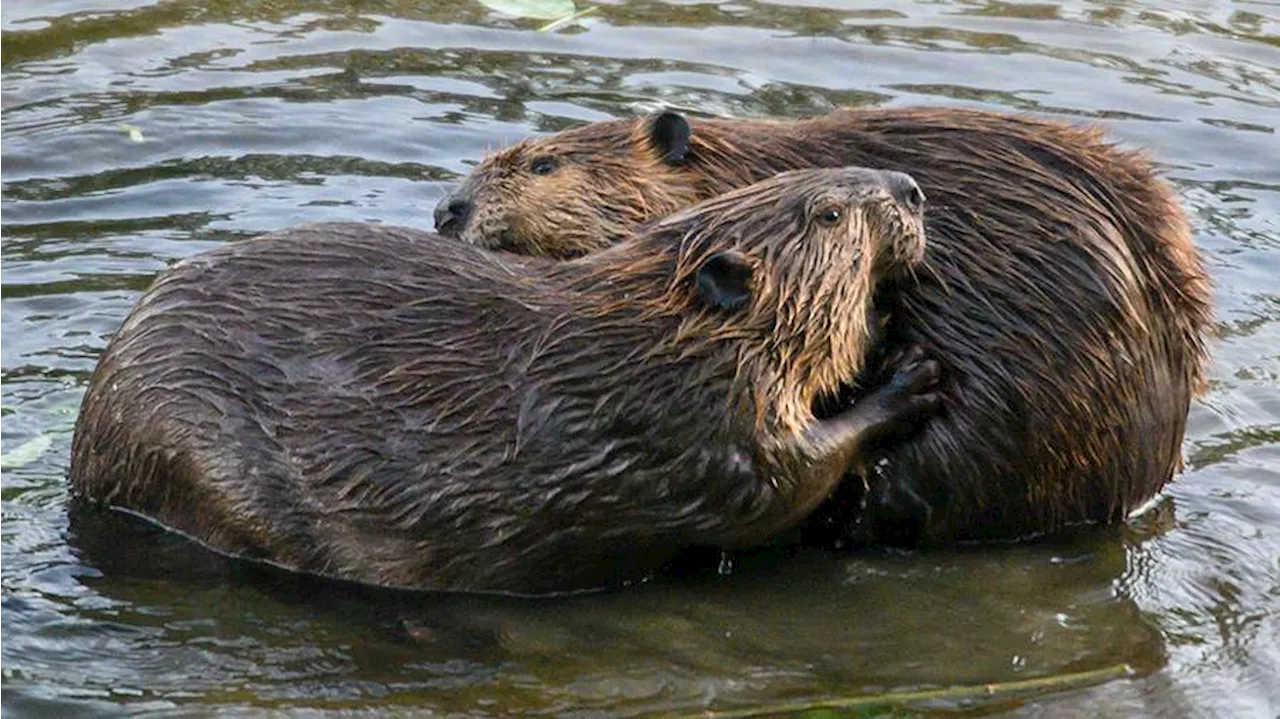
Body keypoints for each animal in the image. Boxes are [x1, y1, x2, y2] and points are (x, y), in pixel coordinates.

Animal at [70, 166, 947, 593]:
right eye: (828, 213)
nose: (910, 189)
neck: (654, 325)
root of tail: (83, 460)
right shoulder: (689, 417)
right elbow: (780, 481)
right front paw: (910, 376)